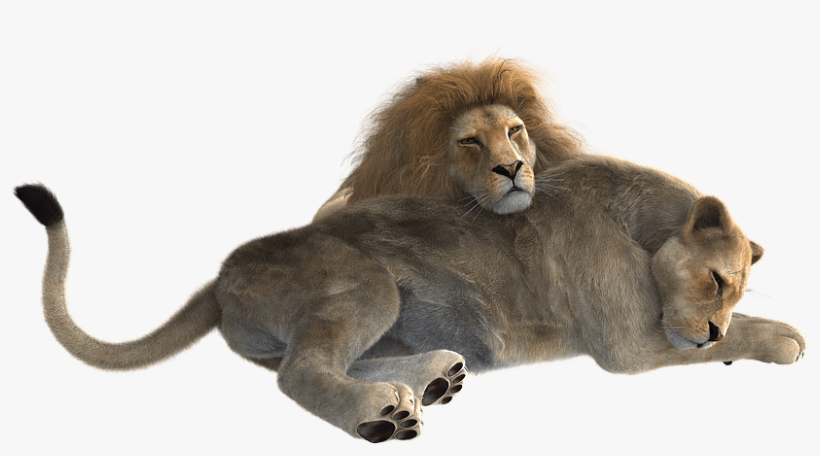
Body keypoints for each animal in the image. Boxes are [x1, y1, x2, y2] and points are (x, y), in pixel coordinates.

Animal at [15, 155, 805, 443]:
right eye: (716, 281)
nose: (707, 332)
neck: (644, 226)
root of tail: (221, 272)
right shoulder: (631, 346)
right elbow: (740, 337)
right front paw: (784, 339)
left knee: (324, 359)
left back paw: (430, 380)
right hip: (367, 281)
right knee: (298, 371)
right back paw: (382, 415)